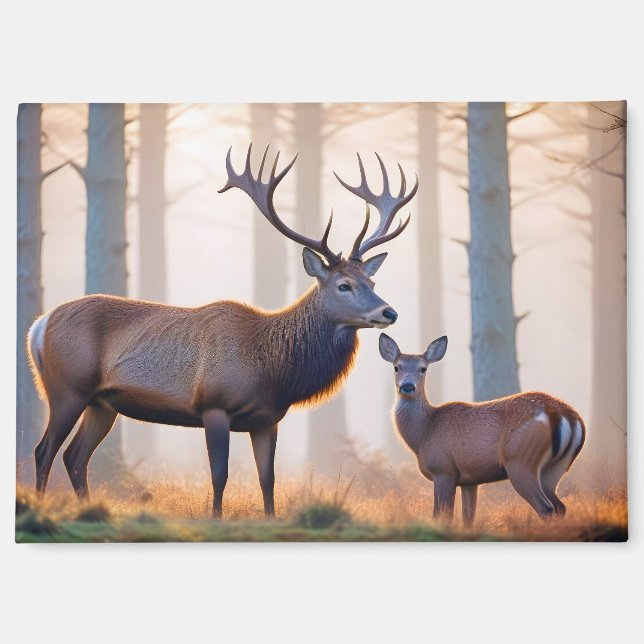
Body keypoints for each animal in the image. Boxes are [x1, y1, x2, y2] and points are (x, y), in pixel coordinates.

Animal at [27, 145, 418, 518]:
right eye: (343, 285)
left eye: (371, 280)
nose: (390, 312)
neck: (274, 371)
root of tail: (38, 327)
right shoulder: (214, 405)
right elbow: (220, 475)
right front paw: (216, 518)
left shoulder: (266, 420)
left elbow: (267, 479)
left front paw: (270, 519)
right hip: (67, 388)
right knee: (44, 450)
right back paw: (40, 505)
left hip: (102, 402)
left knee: (75, 457)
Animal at [378, 333, 586, 525]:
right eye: (396, 367)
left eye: (423, 368)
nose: (407, 386)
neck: (422, 434)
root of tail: (563, 415)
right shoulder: (470, 480)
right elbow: (468, 518)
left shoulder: (443, 469)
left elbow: (441, 516)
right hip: (555, 468)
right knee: (560, 506)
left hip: (520, 460)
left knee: (546, 508)